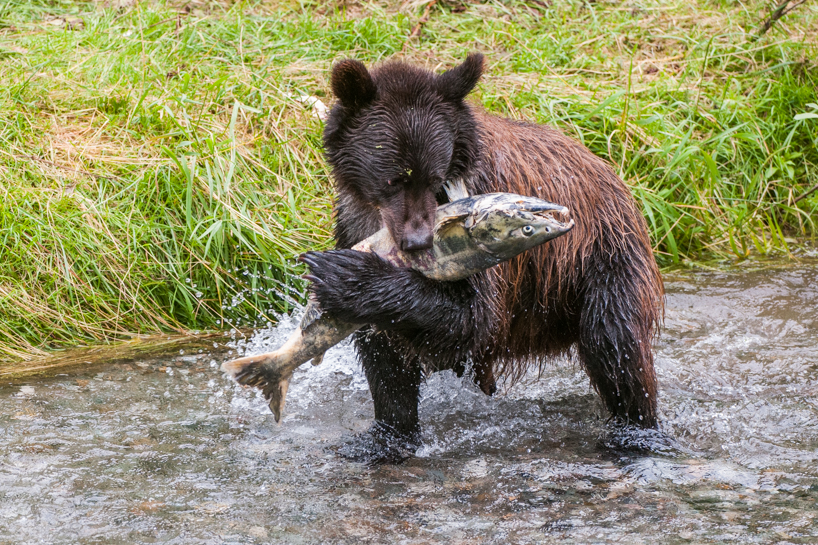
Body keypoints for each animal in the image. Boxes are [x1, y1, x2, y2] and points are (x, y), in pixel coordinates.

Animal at [299, 52, 664, 457]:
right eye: (393, 177)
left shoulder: (480, 218)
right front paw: (387, 436)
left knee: (615, 343)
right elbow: (384, 355)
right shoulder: (352, 222)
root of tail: (613, 175)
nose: (417, 240)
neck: (377, 218)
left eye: (434, 176)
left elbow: (472, 316)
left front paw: (344, 275)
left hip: (601, 257)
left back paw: (635, 433)